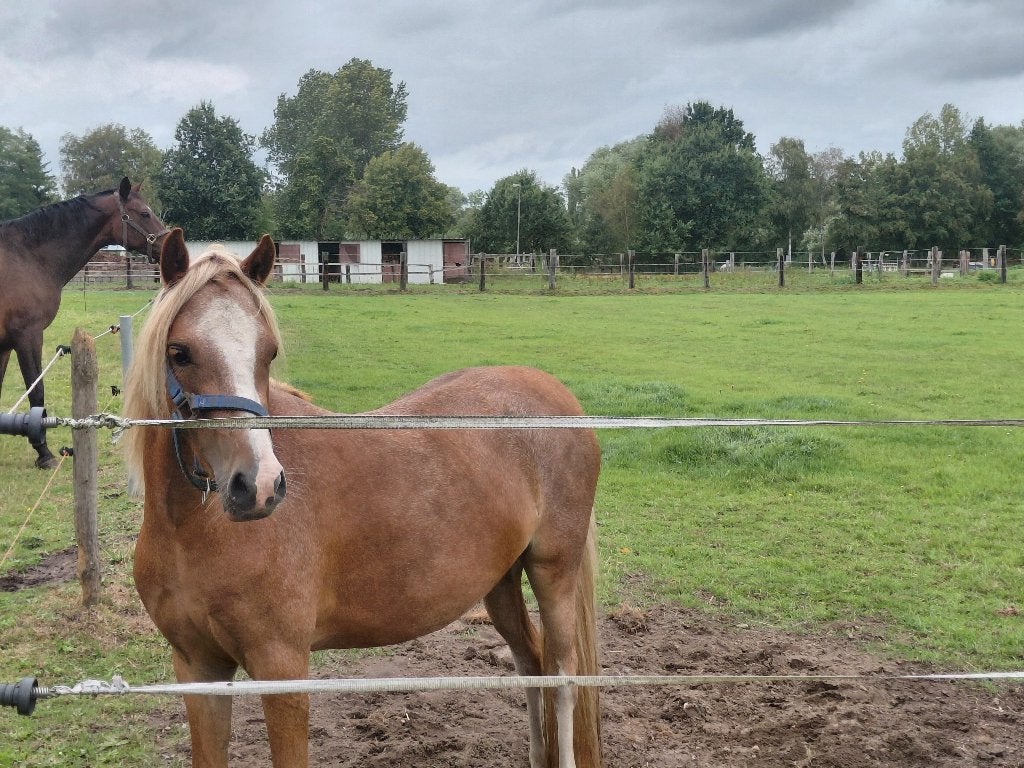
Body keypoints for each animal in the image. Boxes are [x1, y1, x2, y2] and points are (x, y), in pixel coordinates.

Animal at [0, 177, 168, 467]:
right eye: (145, 213)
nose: (170, 240)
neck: (27, 257)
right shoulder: (27, 337)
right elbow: (36, 391)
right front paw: (43, 453)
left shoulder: (4, 346)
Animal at [122, 229, 603, 768]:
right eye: (180, 352)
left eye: (268, 353)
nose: (259, 486)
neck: (190, 532)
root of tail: (560, 397)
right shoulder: (198, 669)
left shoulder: (282, 668)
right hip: (500, 579)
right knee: (530, 662)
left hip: (552, 571)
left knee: (563, 677)